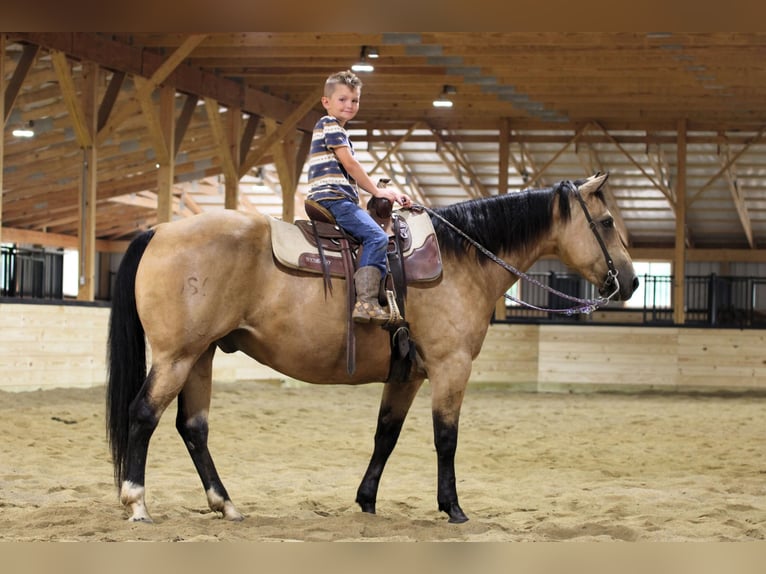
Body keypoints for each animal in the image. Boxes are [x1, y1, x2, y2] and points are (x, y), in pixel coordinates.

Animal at [106, 172, 638, 524]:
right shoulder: (450, 368)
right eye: (606, 221)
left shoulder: (408, 374)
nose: (631, 282)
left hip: (201, 355)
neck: (462, 260)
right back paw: (137, 501)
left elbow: (386, 434)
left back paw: (225, 503)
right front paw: (453, 507)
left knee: (193, 427)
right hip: (176, 357)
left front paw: (366, 500)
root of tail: (160, 229)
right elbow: (446, 438)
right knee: (144, 414)